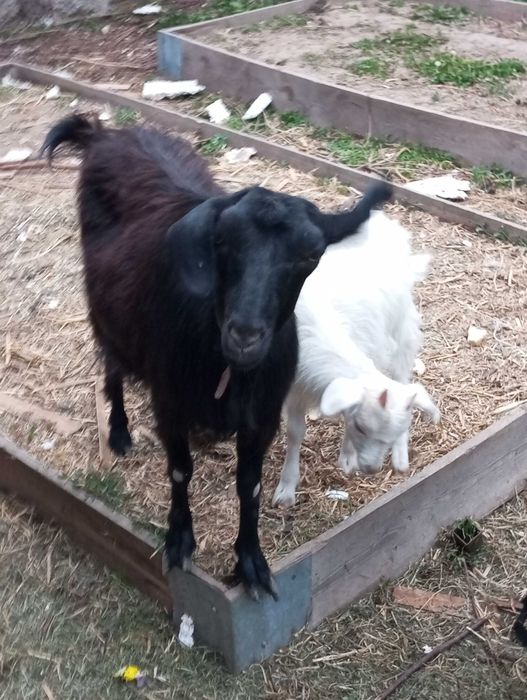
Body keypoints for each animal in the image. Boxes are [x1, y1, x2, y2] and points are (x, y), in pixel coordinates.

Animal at [41, 114, 392, 599]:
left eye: (311, 254)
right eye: (221, 241)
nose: (244, 335)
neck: (228, 370)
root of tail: (108, 135)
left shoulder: (262, 417)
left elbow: (251, 486)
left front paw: (251, 563)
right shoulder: (168, 403)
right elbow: (179, 471)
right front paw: (179, 542)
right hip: (105, 311)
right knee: (110, 363)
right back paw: (119, 433)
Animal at [273, 210, 440, 507]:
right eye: (362, 428)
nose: (371, 469)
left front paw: (347, 457)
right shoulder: (294, 386)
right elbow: (295, 432)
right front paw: (286, 489)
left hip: (401, 330)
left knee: (402, 376)